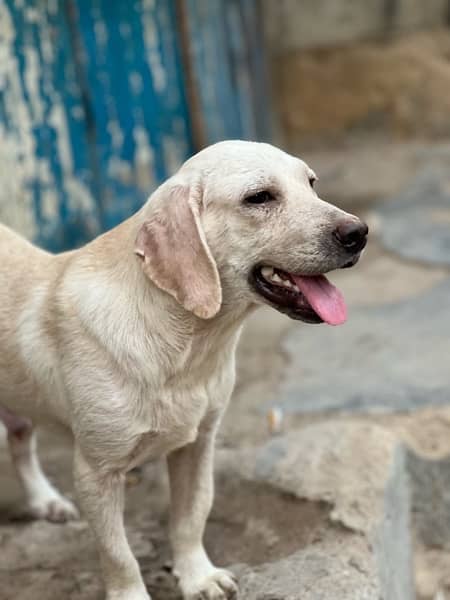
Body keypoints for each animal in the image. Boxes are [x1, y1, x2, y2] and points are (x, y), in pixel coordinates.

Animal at [0, 139, 366, 596]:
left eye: (311, 183)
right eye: (259, 197)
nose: (359, 233)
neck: (184, 348)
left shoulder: (197, 445)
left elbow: (192, 517)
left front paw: (197, 577)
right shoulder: (96, 471)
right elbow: (119, 554)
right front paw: (132, 595)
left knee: (20, 441)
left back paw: (43, 500)